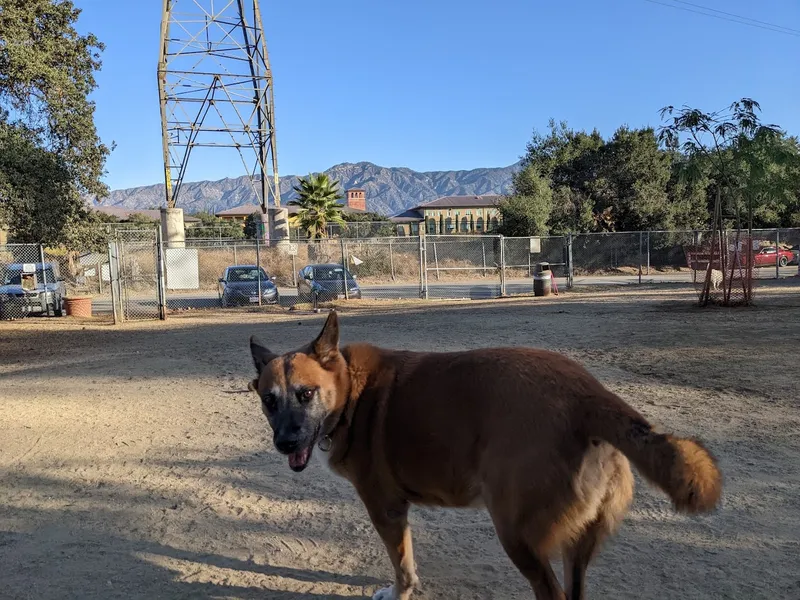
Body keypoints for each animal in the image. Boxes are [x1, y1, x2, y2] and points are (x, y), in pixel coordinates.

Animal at [250, 312, 724, 596]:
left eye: (306, 394)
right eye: (269, 400)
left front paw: (400, 591)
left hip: (516, 535)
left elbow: (402, 565)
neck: (351, 391)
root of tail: (590, 395)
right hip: (578, 544)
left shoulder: (386, 510)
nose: (286, 442)